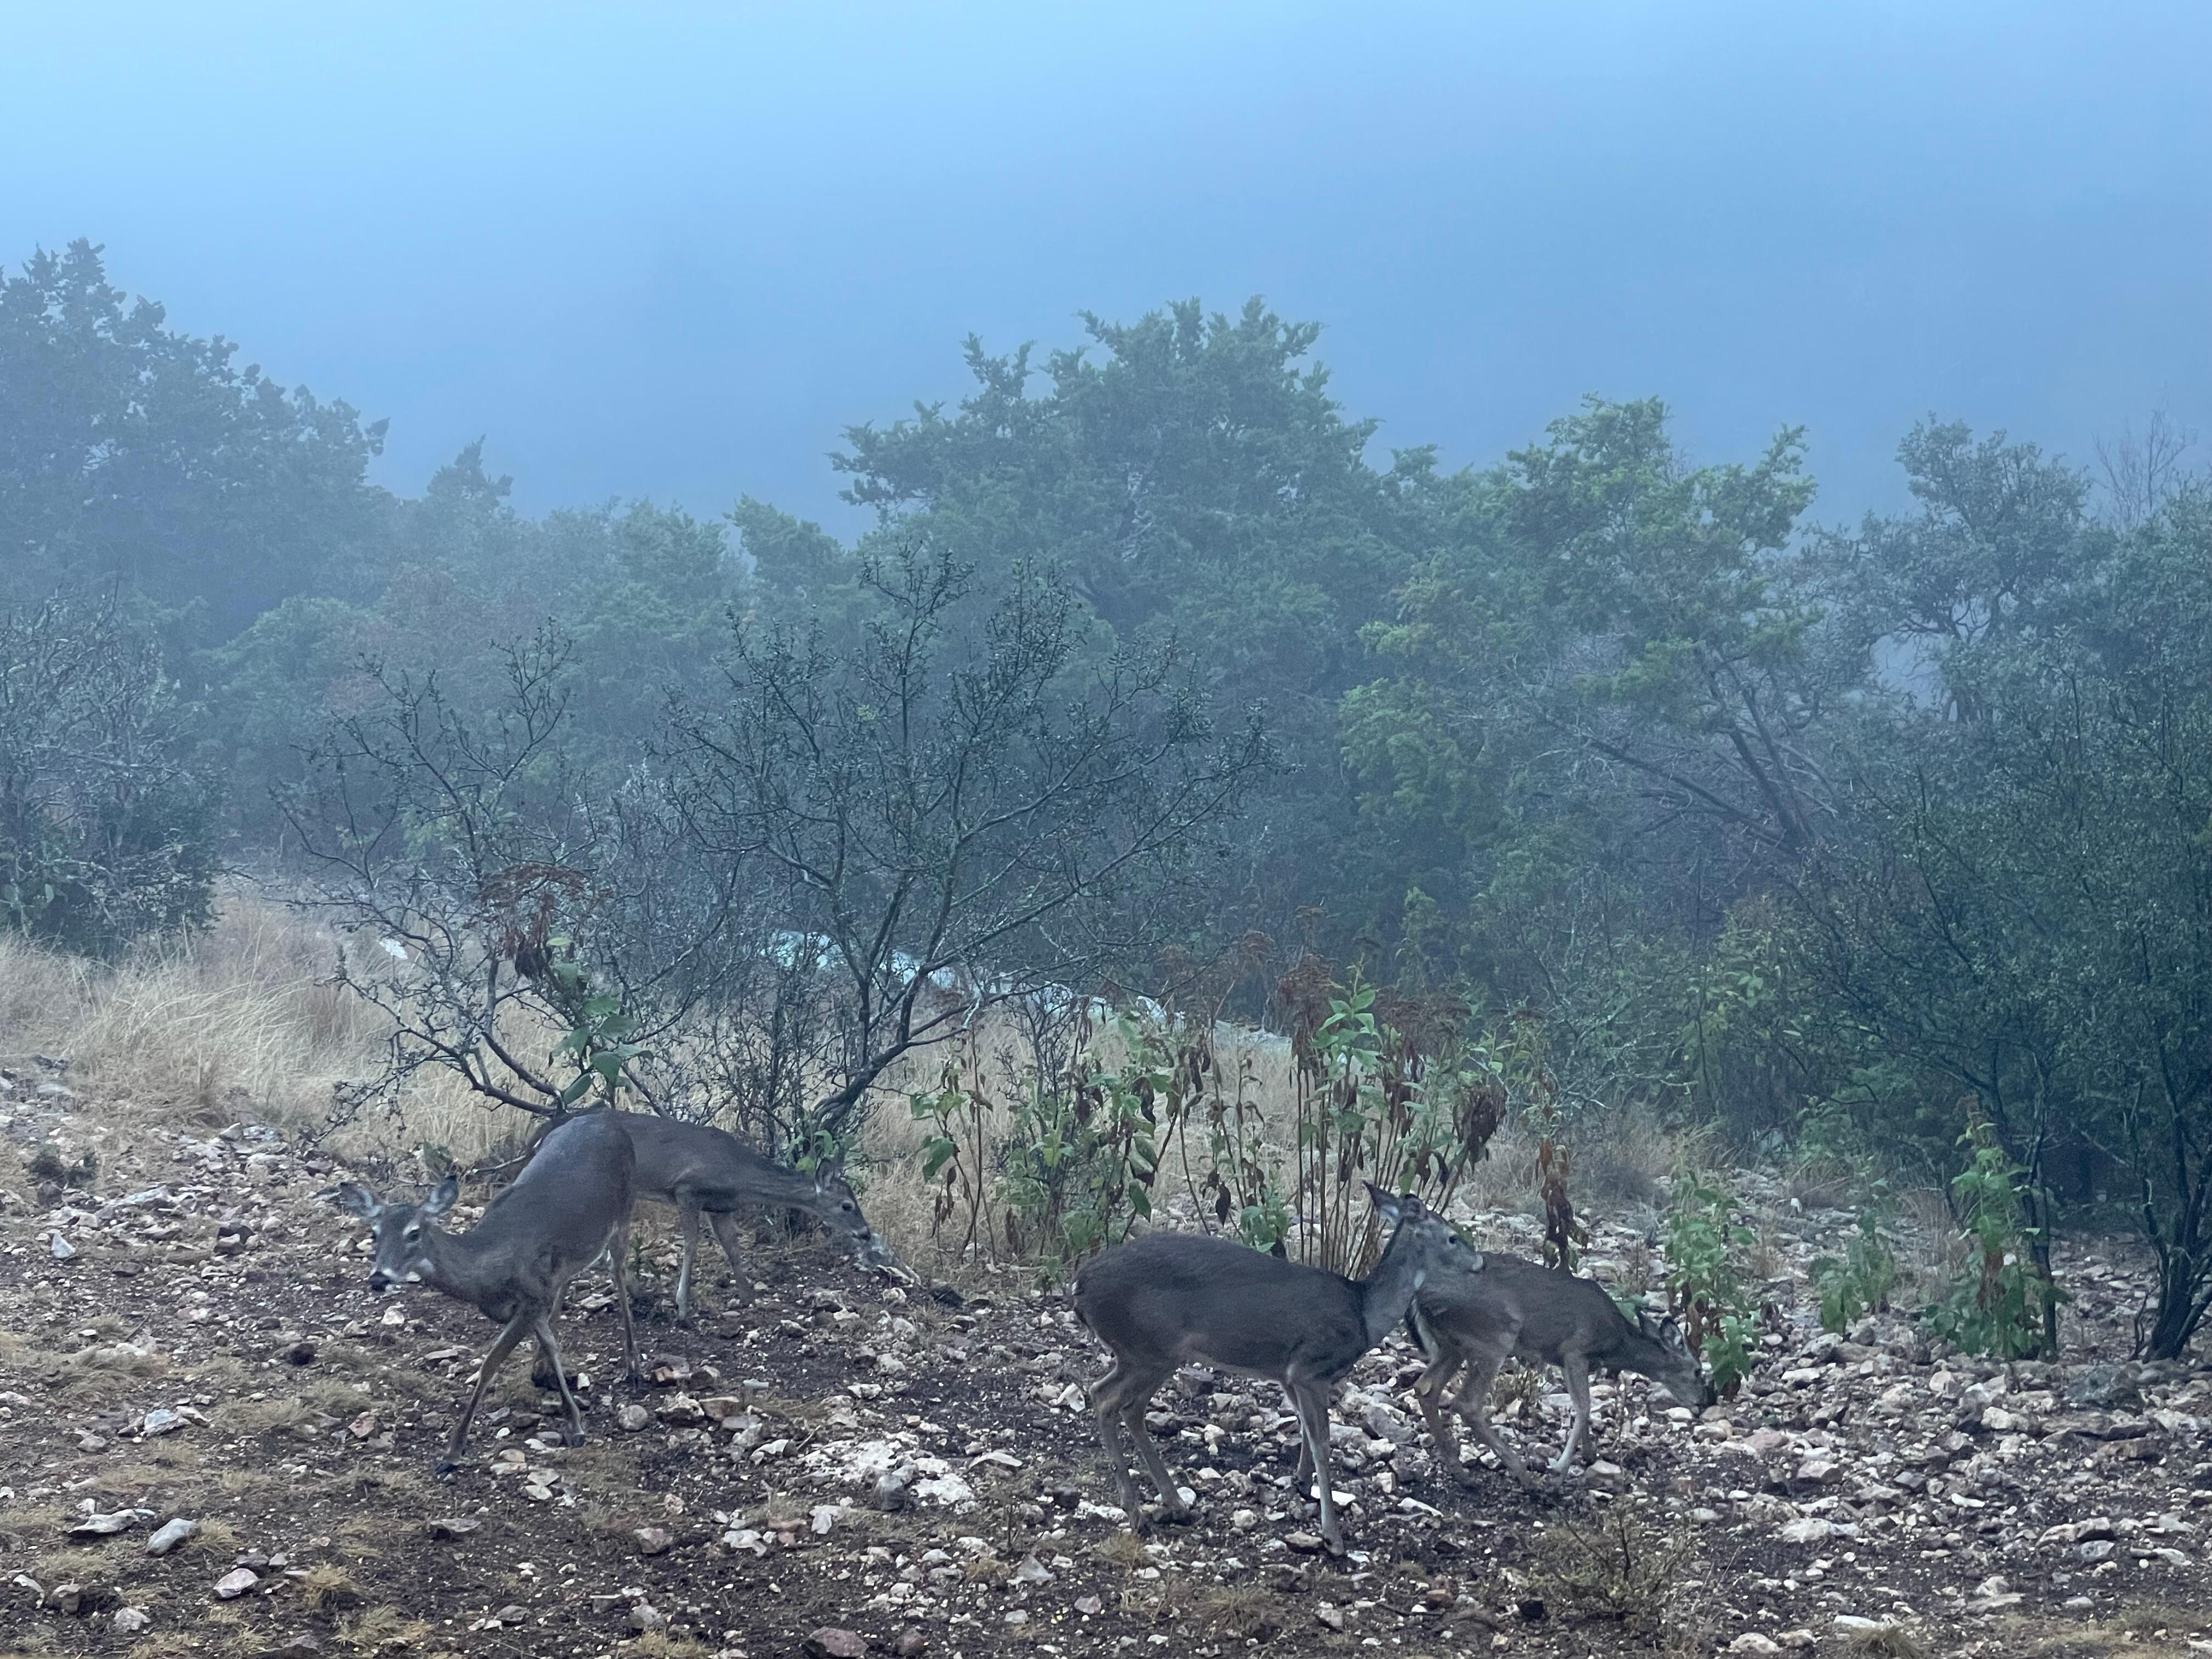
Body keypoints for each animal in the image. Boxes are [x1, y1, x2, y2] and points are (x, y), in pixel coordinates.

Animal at [333, 1111, 641, 1471]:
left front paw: (453, 1451)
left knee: (617, 1269)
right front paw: (561, 1400)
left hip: (625, 1211)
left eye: (414, 1233)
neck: (492, 1267)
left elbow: (491, 1363)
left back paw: (634, 1367)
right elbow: (550, 1342)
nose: (379, 1278)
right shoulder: (533, 1298)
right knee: (570, 1280)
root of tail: (605, 1118)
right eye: (374, 1234)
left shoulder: (532, 1298)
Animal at [1071, 1185, 1473, 1556]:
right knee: (1105, 1397)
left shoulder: (1288, 1374)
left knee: (1126, 1405)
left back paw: (1175, 1504)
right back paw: (1137, 1514)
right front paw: (1333, 1537)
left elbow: (1306, 1431)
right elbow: (1322, 1441)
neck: (1363, 1313)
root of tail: (1079, 1284)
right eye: (1452, 1236)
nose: (1479, 1264)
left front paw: (1302, 1484)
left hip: (1153, 1354)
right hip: (1147, 1349)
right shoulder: (1310, 1366)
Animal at [1406, 1249, 1711, 1484]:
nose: (1704, 1402)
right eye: (1698, 1370)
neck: (1615, 1344)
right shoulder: (1575, 1349)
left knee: (1425, 1388)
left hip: (1452, 1346)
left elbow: (1583, 1405)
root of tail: (1421, 1298)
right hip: (1495, 1337)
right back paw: (1524, 1474)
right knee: (1466, 1404)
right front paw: (1561, 1467)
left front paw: (1590, 1455)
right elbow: (1584, 1406)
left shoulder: (1565, 1360)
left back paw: (1461, 1472)